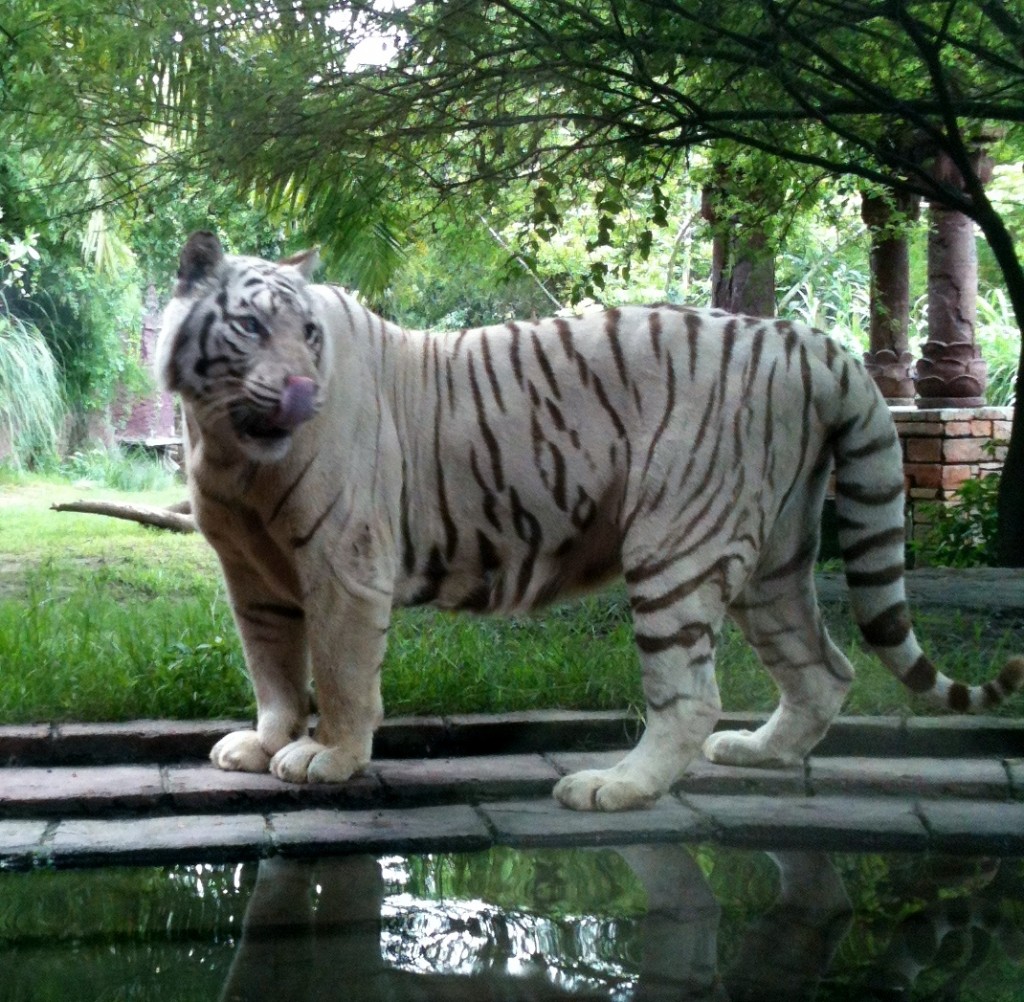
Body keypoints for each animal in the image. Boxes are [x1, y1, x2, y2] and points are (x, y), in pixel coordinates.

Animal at [155, 231, 1019, 810]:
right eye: (251, 327)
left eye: (308, 333)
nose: (303, 390)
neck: (228, 443)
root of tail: (808, 340)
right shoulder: (249, 571)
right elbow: (271, 665)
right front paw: (266, 741)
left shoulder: (344, 563)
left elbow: (337, 673)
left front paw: (327, 758)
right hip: (775, 557)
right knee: (824, 670)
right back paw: (759, 753)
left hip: (678, 547)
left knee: (690, 696)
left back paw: (616, 785)